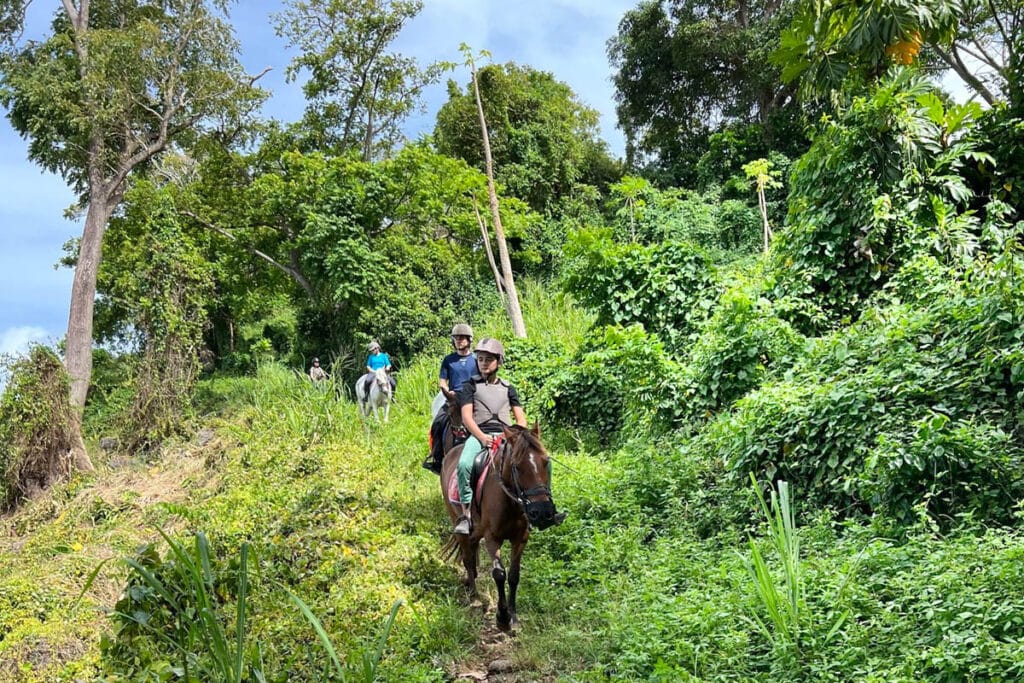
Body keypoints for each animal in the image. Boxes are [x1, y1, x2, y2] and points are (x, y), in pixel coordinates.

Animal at [436, 423, 557, 634]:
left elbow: (514, 575)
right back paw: (475, 598)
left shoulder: (520, 538)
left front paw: (514, 617)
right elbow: (499, 574)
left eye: (546, 462)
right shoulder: (492, 538)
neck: (510, 501)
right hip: (457, 521)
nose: (542, 512)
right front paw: (502, 618)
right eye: (517, 466)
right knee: (467, 559)